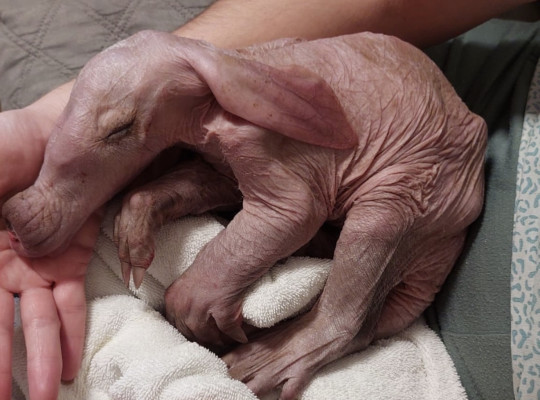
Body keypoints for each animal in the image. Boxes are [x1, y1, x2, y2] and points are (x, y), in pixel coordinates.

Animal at [1, 30, 486, 399]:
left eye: (119, 129)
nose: (18, 221)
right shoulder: (218, 160)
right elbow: (190, 189)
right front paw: (133, 240)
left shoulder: (271, 144)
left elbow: (291, 213)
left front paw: (203, 319)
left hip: (420, 190)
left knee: (356, 289)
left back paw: (259, 361)